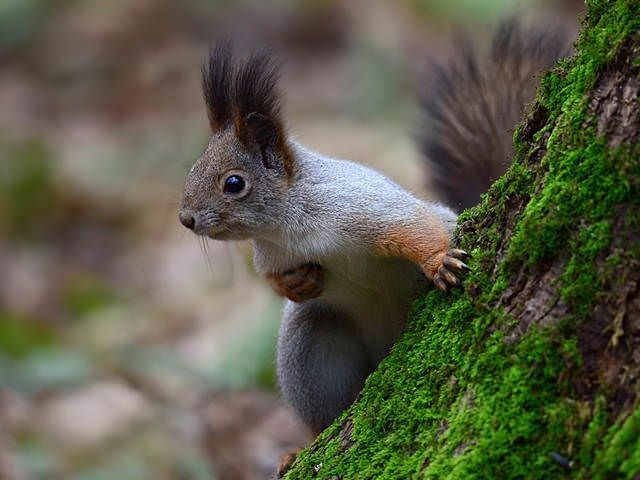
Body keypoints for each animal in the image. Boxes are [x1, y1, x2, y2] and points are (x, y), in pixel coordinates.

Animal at [178, 20, 568, 476]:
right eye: (193, 169)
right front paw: (297, 283)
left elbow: (411, 224)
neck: (285, 228)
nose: (185, 219)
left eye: (234, 183)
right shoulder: (270, 257)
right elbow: (274, 279)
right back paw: (301, 449)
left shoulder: (361, 205)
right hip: (311, 347)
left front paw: (439, 261)